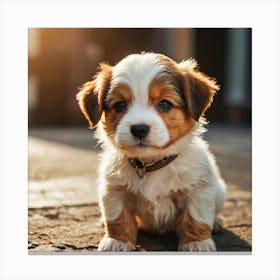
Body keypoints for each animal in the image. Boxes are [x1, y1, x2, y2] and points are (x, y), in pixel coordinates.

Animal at [77, 52, 228, 252]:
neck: (151, 163)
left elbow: (196, 217)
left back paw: (216, 222)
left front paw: (196, 243)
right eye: (120, 105)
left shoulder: (198, 189)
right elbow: (118, 217)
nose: (139, 129)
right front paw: (117, 241)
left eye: (164, 104)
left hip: (220, 191)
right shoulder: (115, 190)